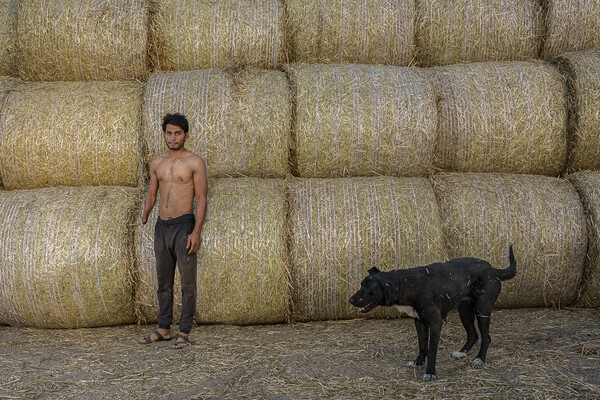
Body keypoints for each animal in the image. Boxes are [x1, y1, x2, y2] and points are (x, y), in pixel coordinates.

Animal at [352, 244, 516, 382]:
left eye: (368, 290)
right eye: (361, 285)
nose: (350, 300)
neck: (406, 283)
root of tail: (492, 269)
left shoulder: (436, 322)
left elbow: (431, 349)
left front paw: (430, 372)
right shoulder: (419, 321)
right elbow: (422, 345)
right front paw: (418, 362)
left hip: (482, 309)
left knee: (486, 337)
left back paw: (480, 359)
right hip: (464, 311)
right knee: (473, 334)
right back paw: (461, 353)